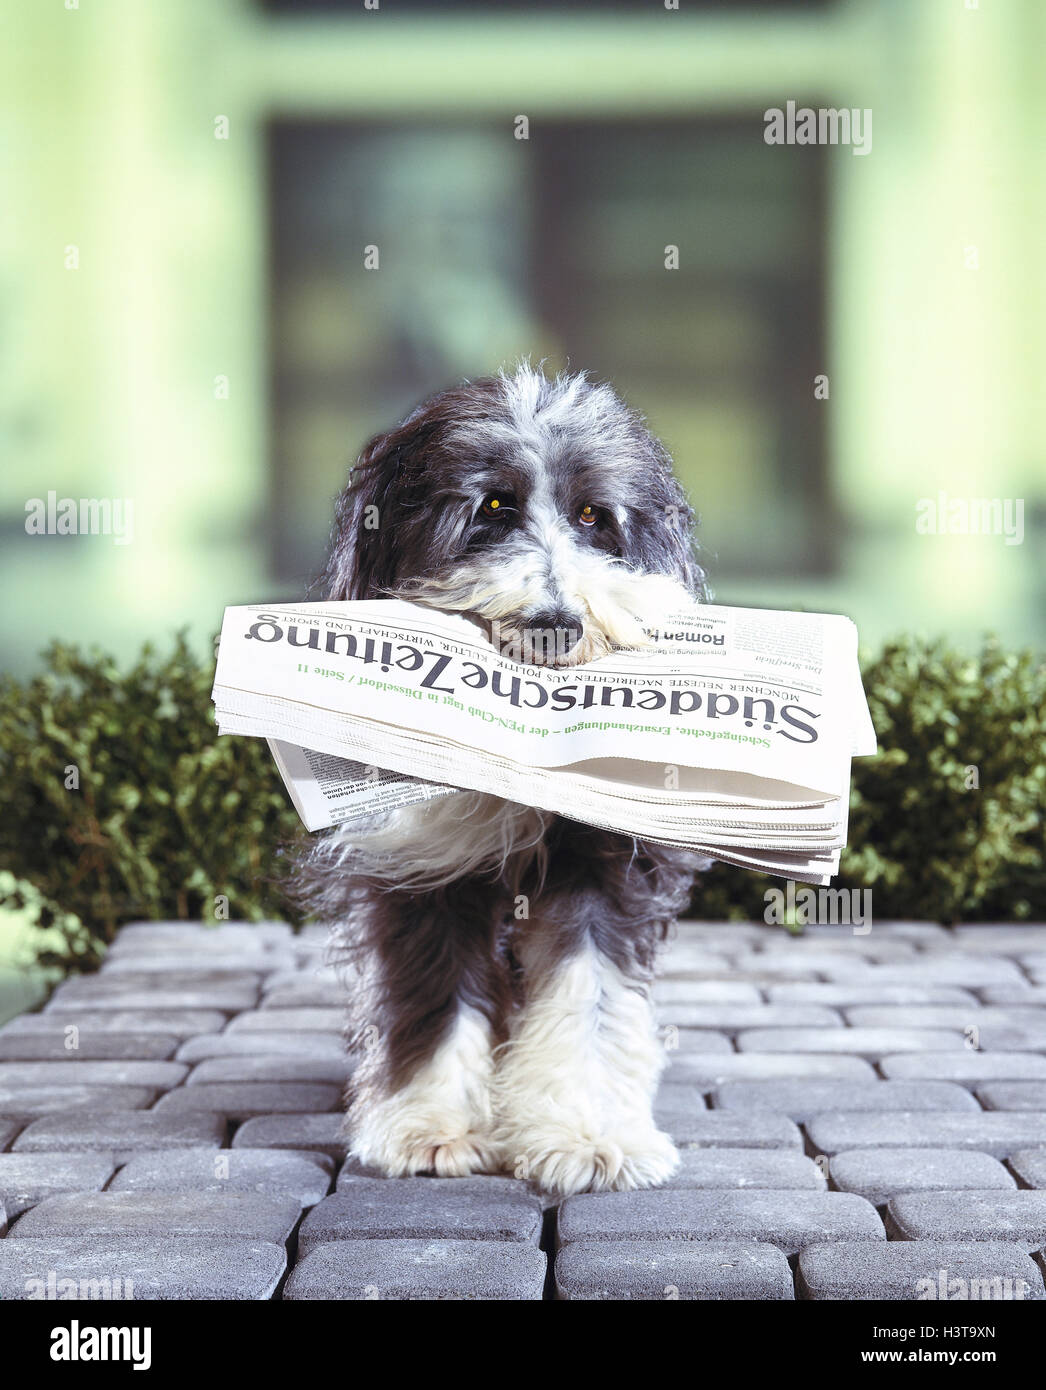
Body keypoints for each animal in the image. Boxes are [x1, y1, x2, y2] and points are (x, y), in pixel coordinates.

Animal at [297, 366, 711, 1195]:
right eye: (492, 508)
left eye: (593, 517)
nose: (557, 623)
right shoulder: (421, 863)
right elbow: (436, 994)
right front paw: (433, 1128)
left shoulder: (602, 862)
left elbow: (589, 987)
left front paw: (587, 1135)